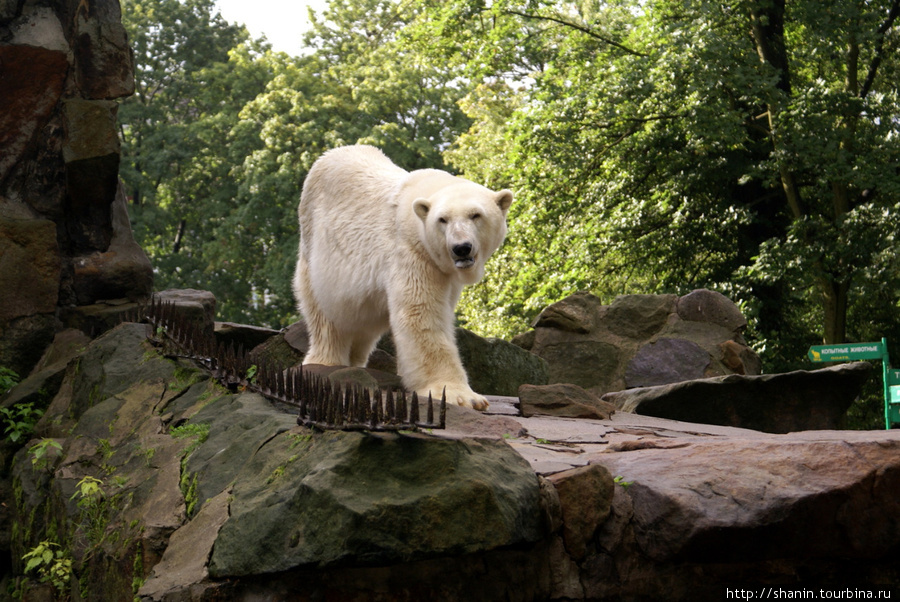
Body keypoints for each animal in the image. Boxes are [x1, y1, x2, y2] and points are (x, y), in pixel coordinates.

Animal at [292, 143, 510, 410]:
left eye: (476, 215)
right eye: (442, 220)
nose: (461, 248)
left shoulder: (445, 272)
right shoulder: (412, 251)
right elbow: (421, 313)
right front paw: (461, 395)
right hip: (316, 250)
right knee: (325, 312)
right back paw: (326, 361)